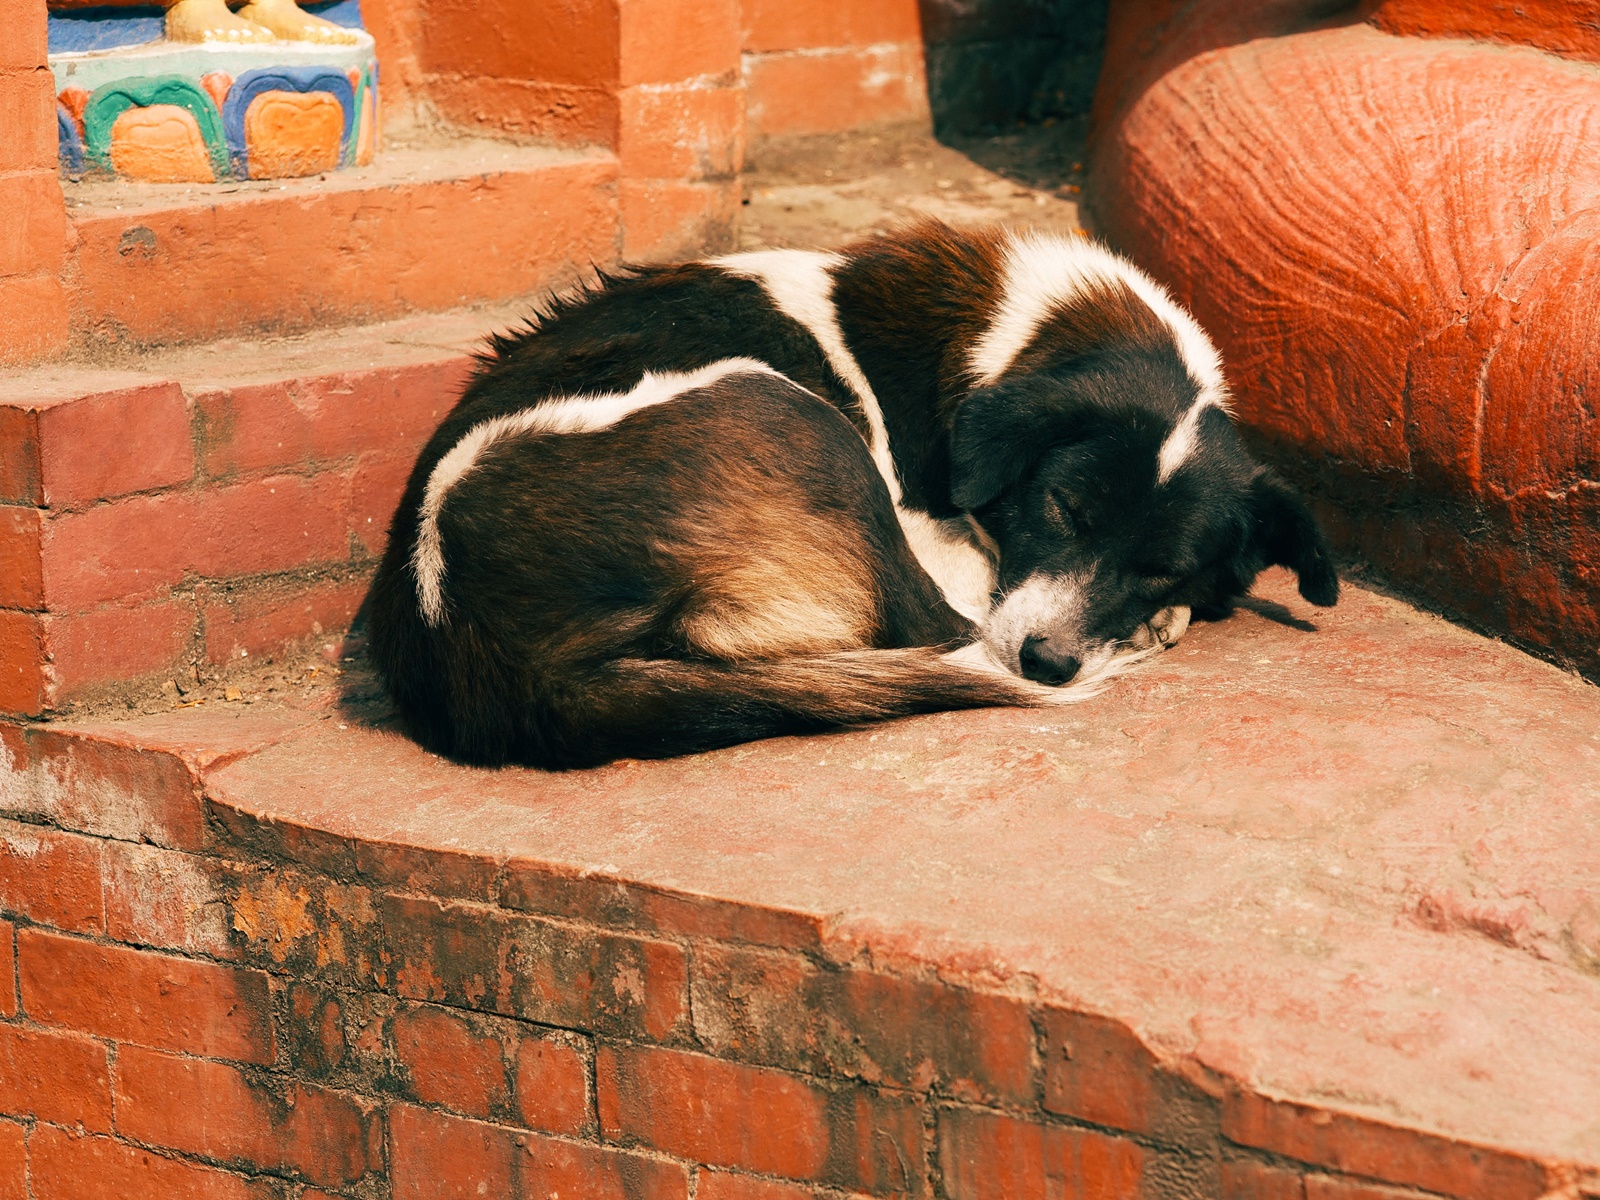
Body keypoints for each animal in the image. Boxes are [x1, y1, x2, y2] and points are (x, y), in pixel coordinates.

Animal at [366, 224, 1337, 771]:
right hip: (791, 410)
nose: (1047, 664)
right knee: (934, 627)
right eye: (1063, 509)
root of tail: (504, 671)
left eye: (1163, 566)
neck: (1026, 335)